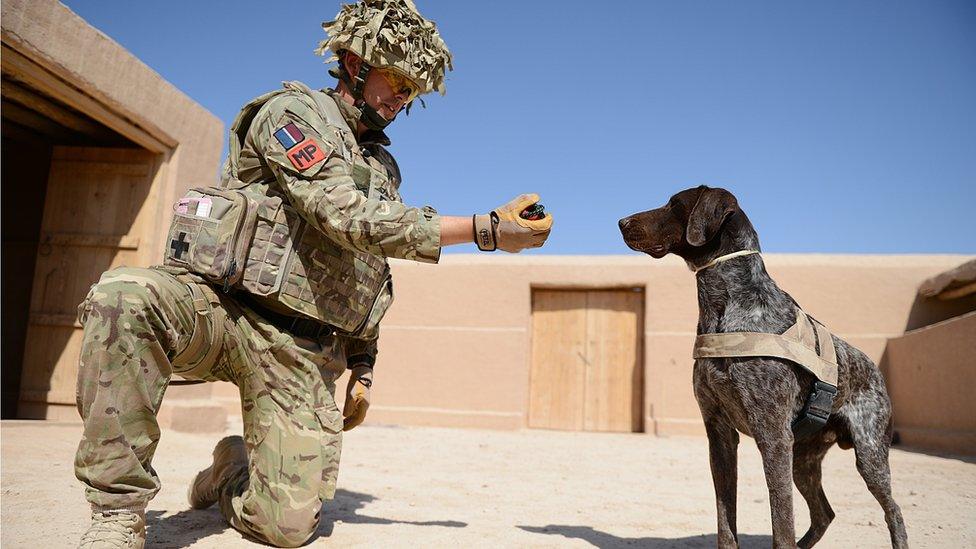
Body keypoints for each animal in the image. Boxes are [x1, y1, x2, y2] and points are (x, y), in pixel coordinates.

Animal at [616, 186, 908, 544]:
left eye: (674, 204)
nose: (621, 222)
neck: (728, 308)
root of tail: (875, 370)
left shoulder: (773, 436)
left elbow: (781, 524)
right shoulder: (719, 434)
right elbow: (725, 519)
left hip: (869, 454)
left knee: (893, 511)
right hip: (802, 460)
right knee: (824, 513)